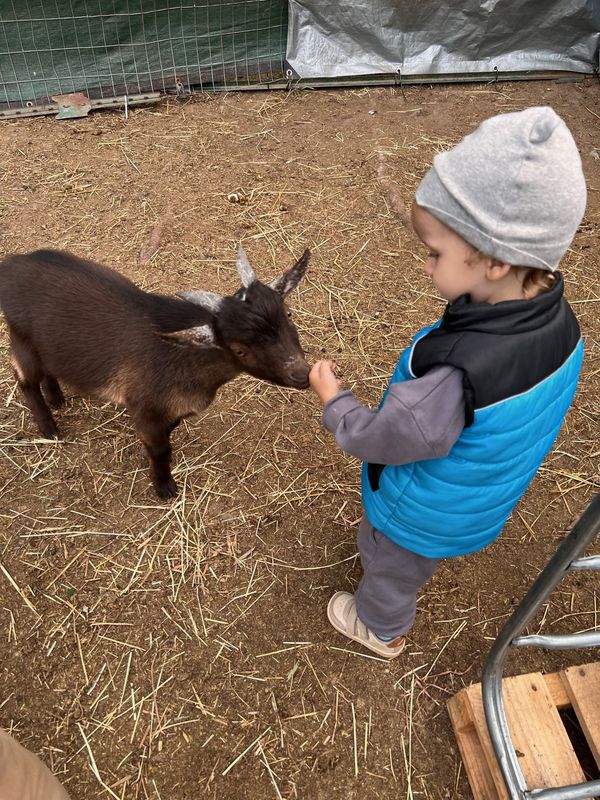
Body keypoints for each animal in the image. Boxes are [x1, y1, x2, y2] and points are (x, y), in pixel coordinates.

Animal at [0, 246, 311, 498]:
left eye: (288, 315)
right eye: (239, 350)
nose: (302, 374)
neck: (186, 357)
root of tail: (13, 264)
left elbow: (167, 435)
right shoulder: (144, 408)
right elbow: (159, 448)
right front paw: (164, 487)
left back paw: (57, 398)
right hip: (22, 340)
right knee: (25, 380)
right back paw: (49, 428)